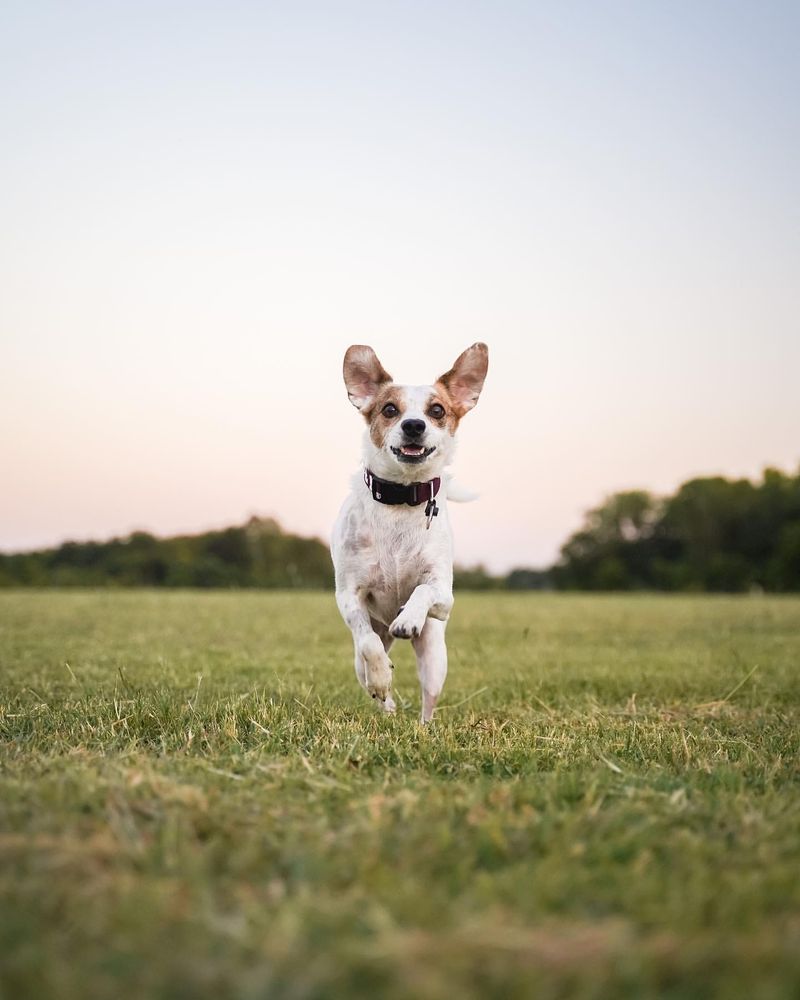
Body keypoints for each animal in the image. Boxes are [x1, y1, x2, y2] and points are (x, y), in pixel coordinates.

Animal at [330, 342, 488, 720]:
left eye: (437, 410)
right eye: (389, 409)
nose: (414, 425)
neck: (401, 498)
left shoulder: (444, 594)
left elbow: (422, 591)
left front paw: (409, 617)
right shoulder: (348, 596)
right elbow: (368, 643)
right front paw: (381, 678)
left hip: (435, 658)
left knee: (428, 702)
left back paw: (422, 726)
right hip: (361, 658)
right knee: (373, 659)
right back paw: (386, 704)